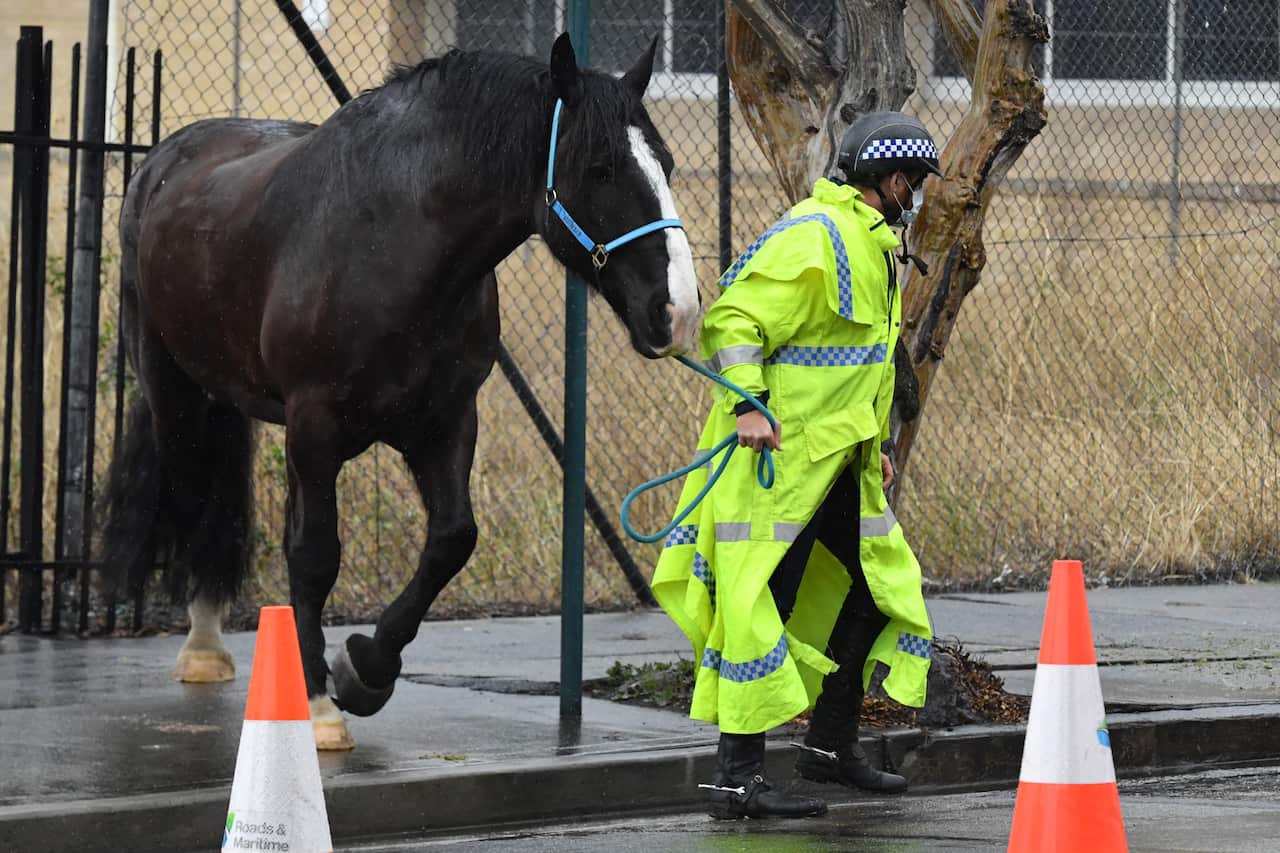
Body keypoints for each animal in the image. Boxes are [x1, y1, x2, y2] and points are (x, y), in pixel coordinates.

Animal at [99, 33, 699, 750]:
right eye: (602, 169)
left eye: (667, 163)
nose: (677, 312)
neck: (392, 244)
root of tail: (164, 162)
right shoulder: (316, 424)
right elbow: (315, 555)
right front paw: (322, 705)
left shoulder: (445, 422)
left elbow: (451, 539)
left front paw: (366, 668)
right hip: (178, 396)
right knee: (197, 497)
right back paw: (205, 648)